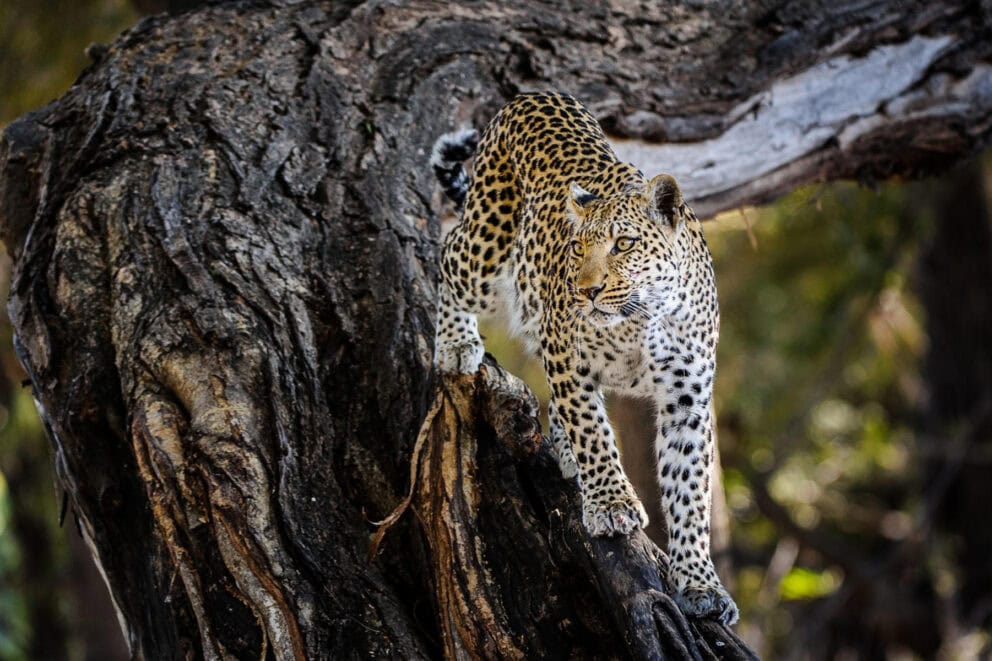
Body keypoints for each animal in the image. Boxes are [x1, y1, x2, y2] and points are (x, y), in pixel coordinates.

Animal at [430, 91, 738, 625]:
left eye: (624, 244)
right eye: (577, 247)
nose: (586, 291)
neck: (643, 316)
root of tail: (531, 95)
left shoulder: (688, 398)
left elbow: (689, 489)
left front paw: (701, 583)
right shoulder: (568, 360)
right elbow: (594, 433)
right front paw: (612, 504)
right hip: (487, 252)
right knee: (450, 253)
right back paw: (455, 343)